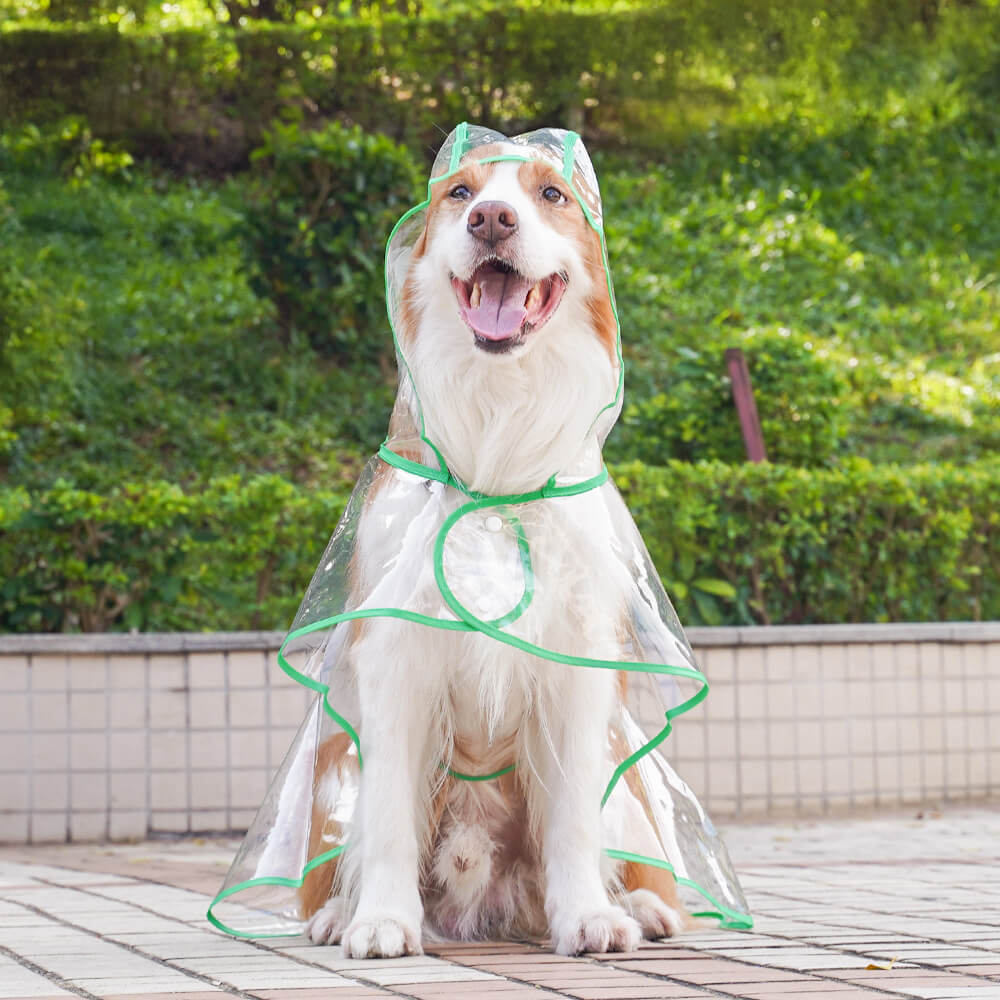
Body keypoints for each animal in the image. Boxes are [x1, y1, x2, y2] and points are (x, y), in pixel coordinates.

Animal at [292, 135, 692, 960]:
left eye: (550, 194)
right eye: (459, 193)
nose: (491, 218)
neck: (497, 441)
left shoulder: (577, 663)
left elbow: (571, 821)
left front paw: (587, 917)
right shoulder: (395, 653)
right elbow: (389, 819)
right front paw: (382, 919)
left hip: (626, 767)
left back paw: (640, 908)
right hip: (333, 761)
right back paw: (339, 912)